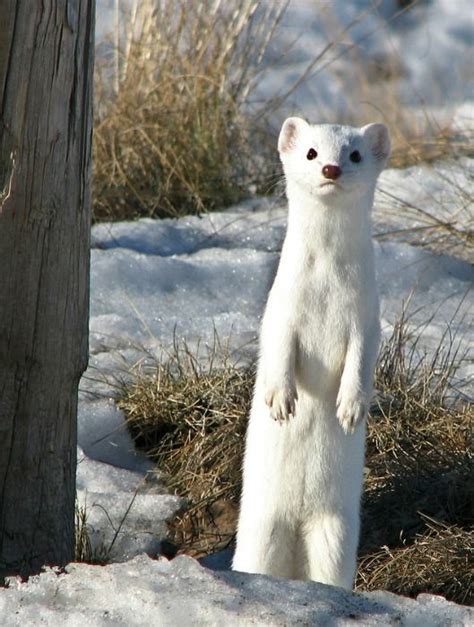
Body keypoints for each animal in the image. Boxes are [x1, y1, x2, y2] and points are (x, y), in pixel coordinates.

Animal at [231, 116, 390, 588]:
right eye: (311, 152)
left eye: (354, 153)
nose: (331, 169)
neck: (326, 291)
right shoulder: (281, 310)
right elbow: (279, 348)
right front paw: (281, 400)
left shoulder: (366, 318)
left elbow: (361, 359)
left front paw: (351, 406)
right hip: (261, 529)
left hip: (334, 531)